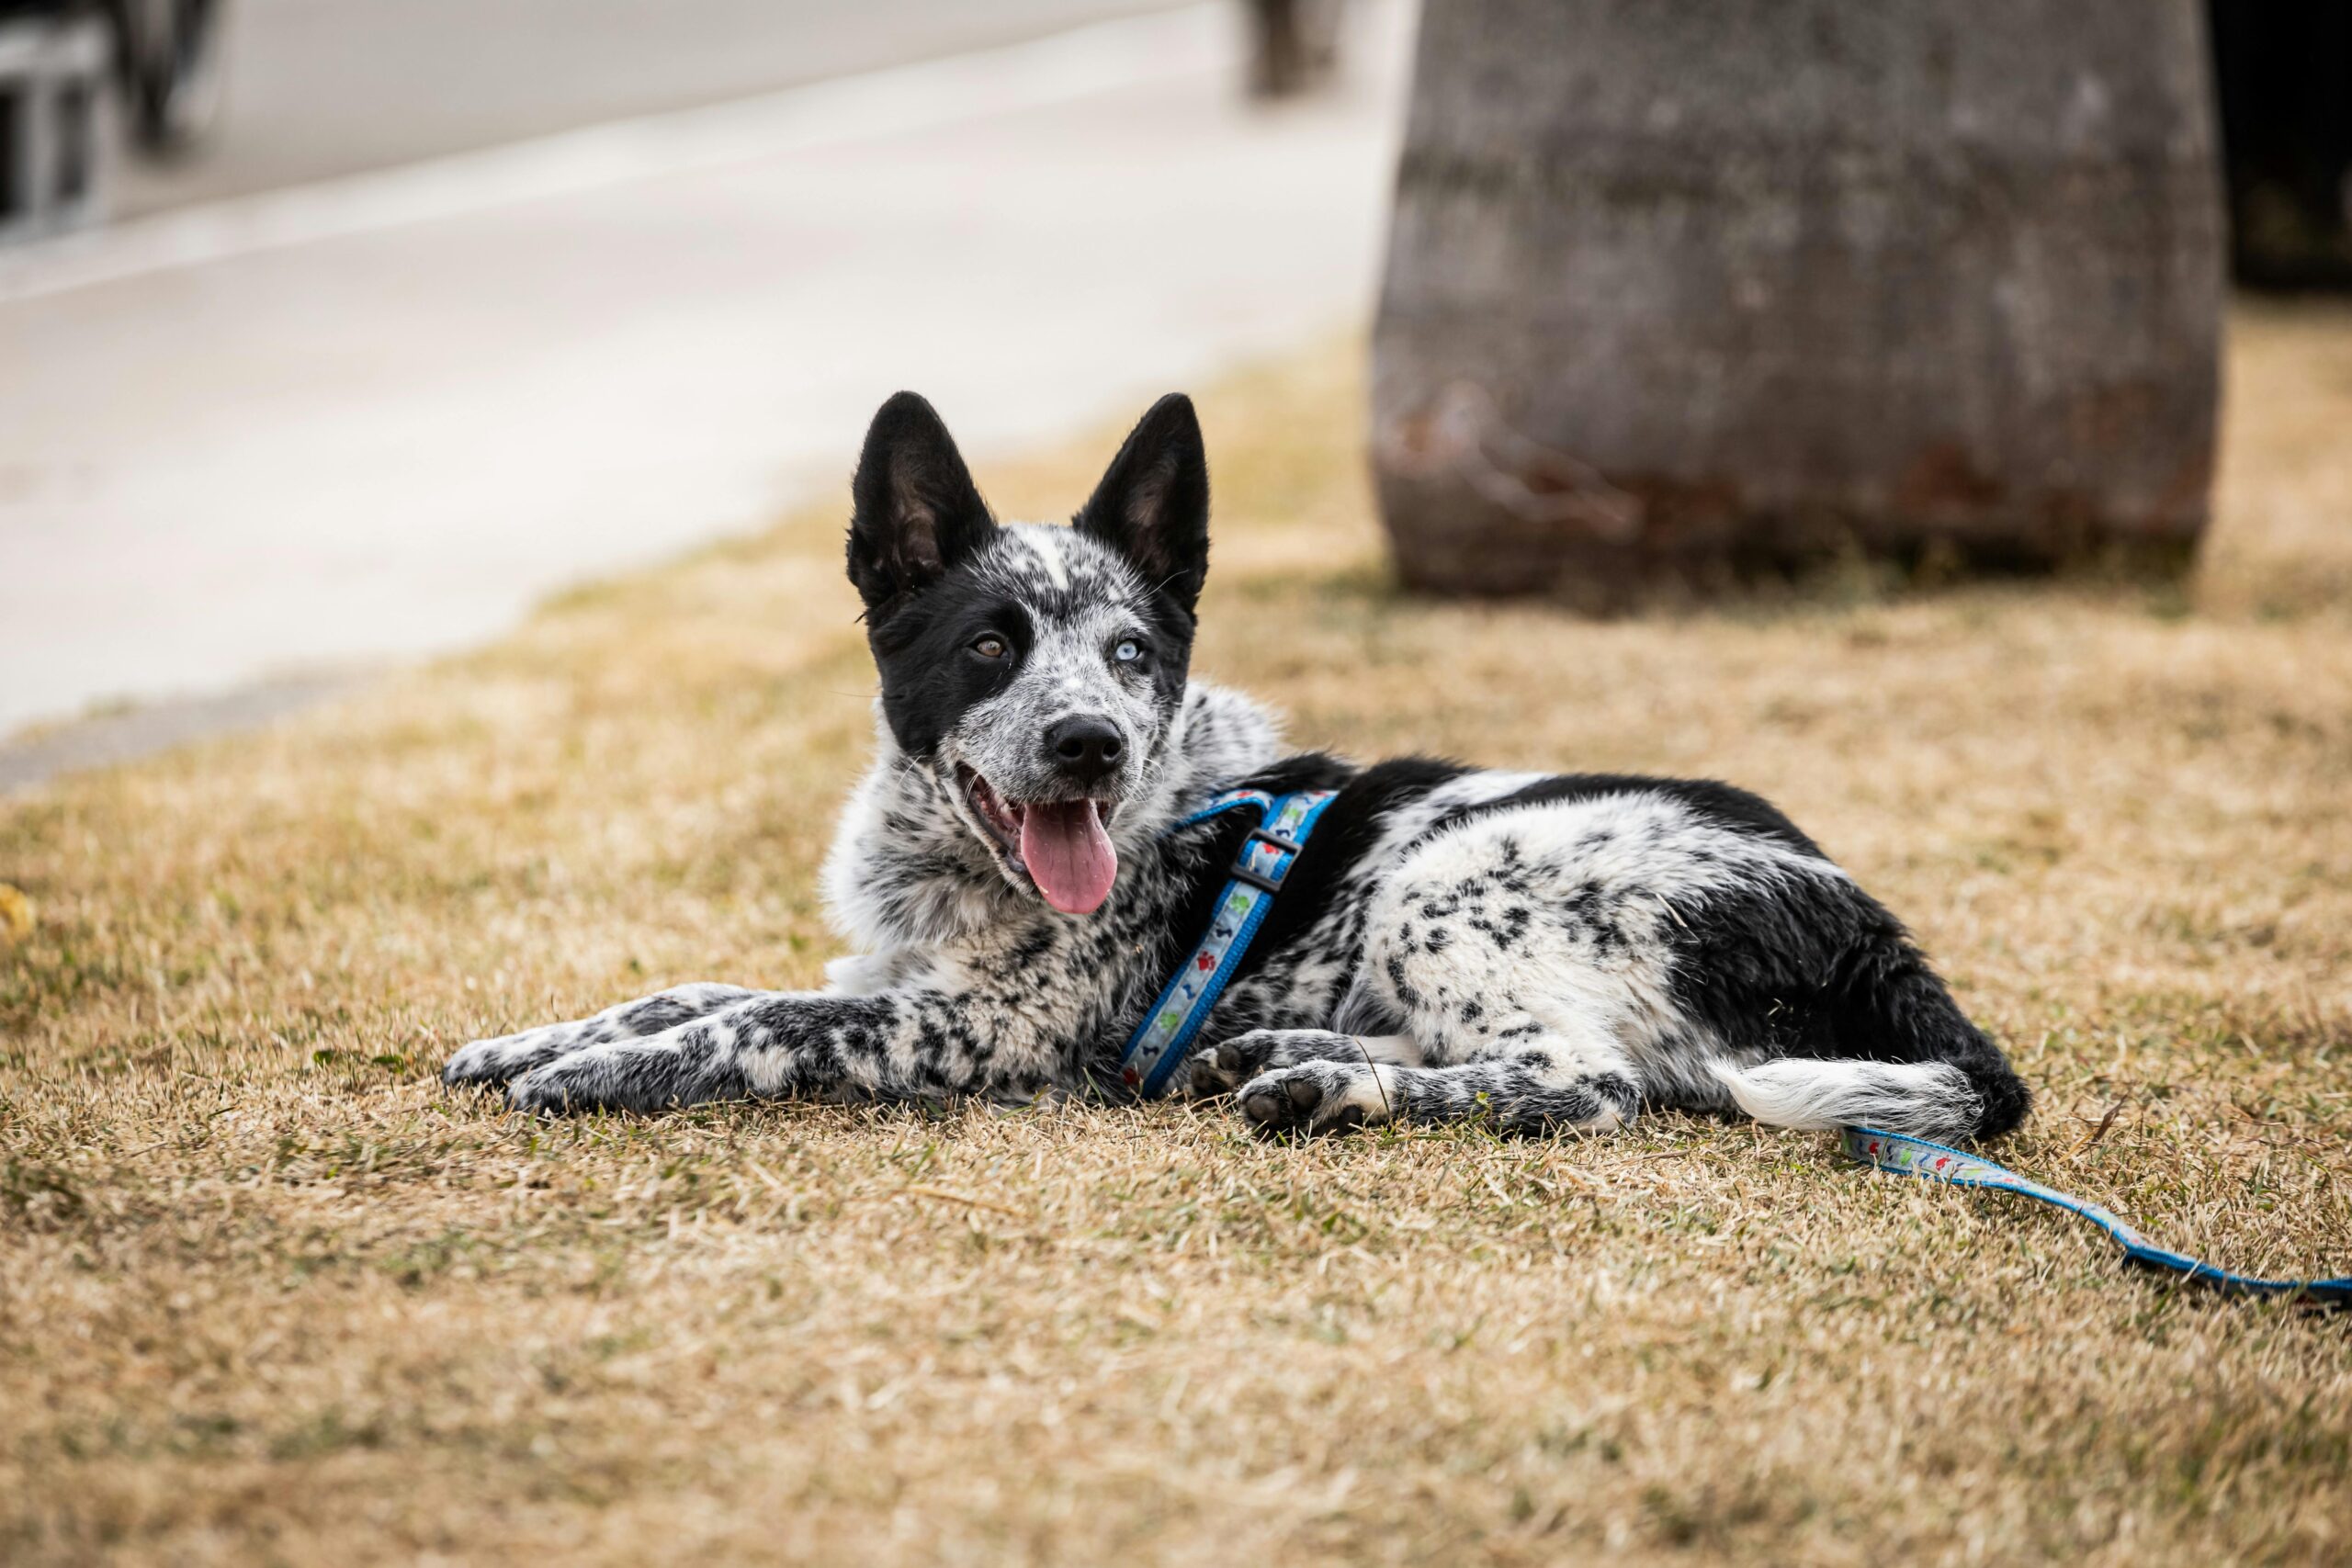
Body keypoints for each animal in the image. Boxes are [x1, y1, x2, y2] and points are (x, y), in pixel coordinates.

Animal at [448, 392, 2031, 1146]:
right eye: (988, 644)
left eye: (1135, 650)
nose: (1089, 742)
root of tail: (1878, 935)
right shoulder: (891, 970)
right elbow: (695, 983)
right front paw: (540, 1035)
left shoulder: (968, 1027)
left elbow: (761, 1021)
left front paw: (602, 1071)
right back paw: (1278, 1052)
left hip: (1460, 875)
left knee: (1588, 1082)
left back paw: (1330, 1089)